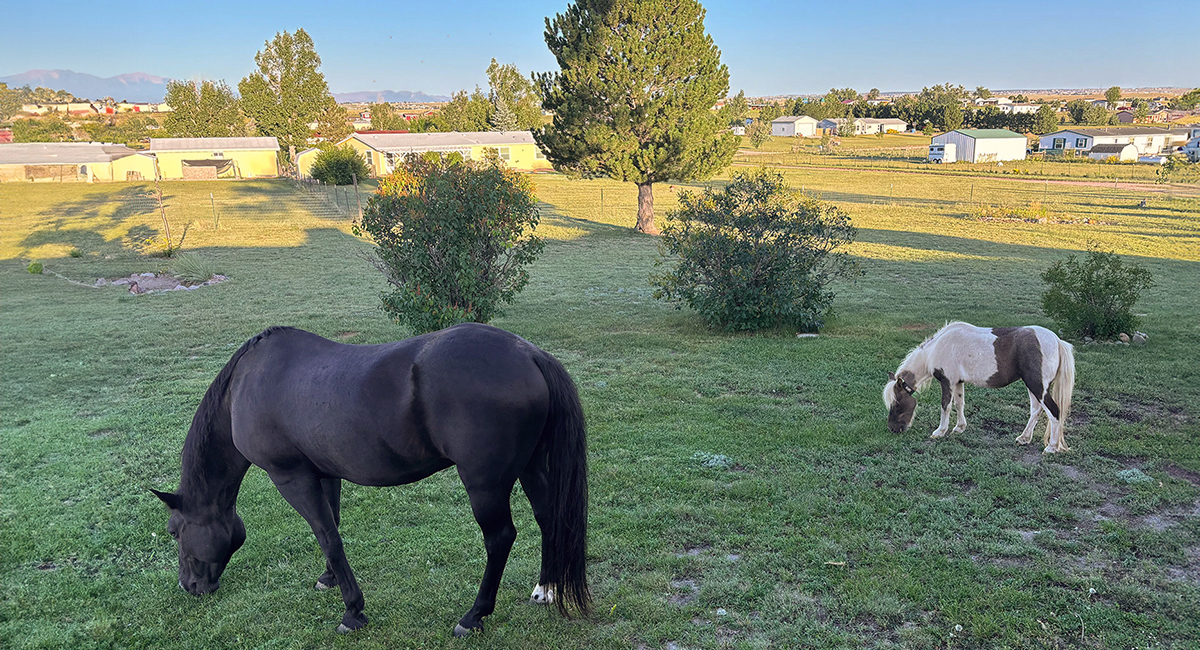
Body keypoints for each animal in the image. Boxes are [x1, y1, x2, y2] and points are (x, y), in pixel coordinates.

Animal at [152, 323, 592, 638]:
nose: (188, 586)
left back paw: (473, 616)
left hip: (486, 484)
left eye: (175, 532)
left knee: (500, 538)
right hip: (529, 467)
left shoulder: (290, 477)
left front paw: (352, 611)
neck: (247, 385)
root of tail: (529, 354)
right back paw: (547, 589)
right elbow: (332, 525)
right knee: (549, 517)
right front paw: (329, 579)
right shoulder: (324, 473)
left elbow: (327, 536)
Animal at [883, 323, 1080, 455]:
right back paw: (1024, 438)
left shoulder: (947, 382)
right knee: (1036, 409)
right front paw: (959, 427)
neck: (938, 348)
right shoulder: (958, 382)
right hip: (1034, 386)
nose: (893, 428)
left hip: (1037, 385)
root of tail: (1057, 341)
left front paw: (940, 431)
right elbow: (960, 403)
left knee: (1053, 412)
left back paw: (1051, 447)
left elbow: (946, 406)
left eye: (897, 403)